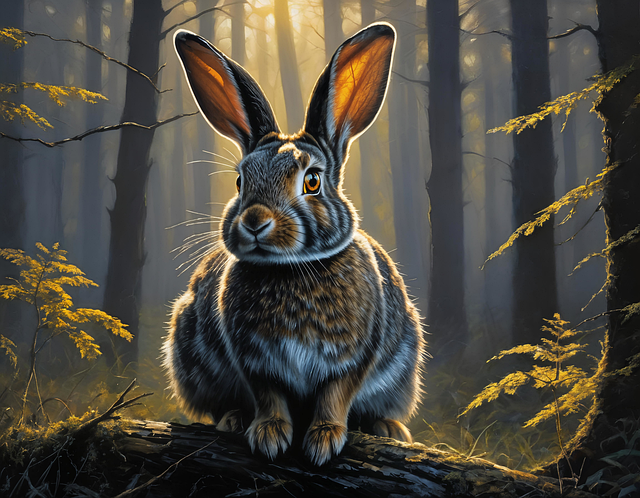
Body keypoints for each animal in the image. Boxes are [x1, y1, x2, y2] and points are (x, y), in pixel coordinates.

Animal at [162, 22, 425, 466]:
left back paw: (390, 428)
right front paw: (268, 435)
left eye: (312, 181)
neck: (292, 269)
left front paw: (324, 440)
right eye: (240, 181)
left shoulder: (352, 359)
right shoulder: (256, 363)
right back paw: (232, 419)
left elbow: (335, 396)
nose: (254, 221)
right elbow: (269, 397)